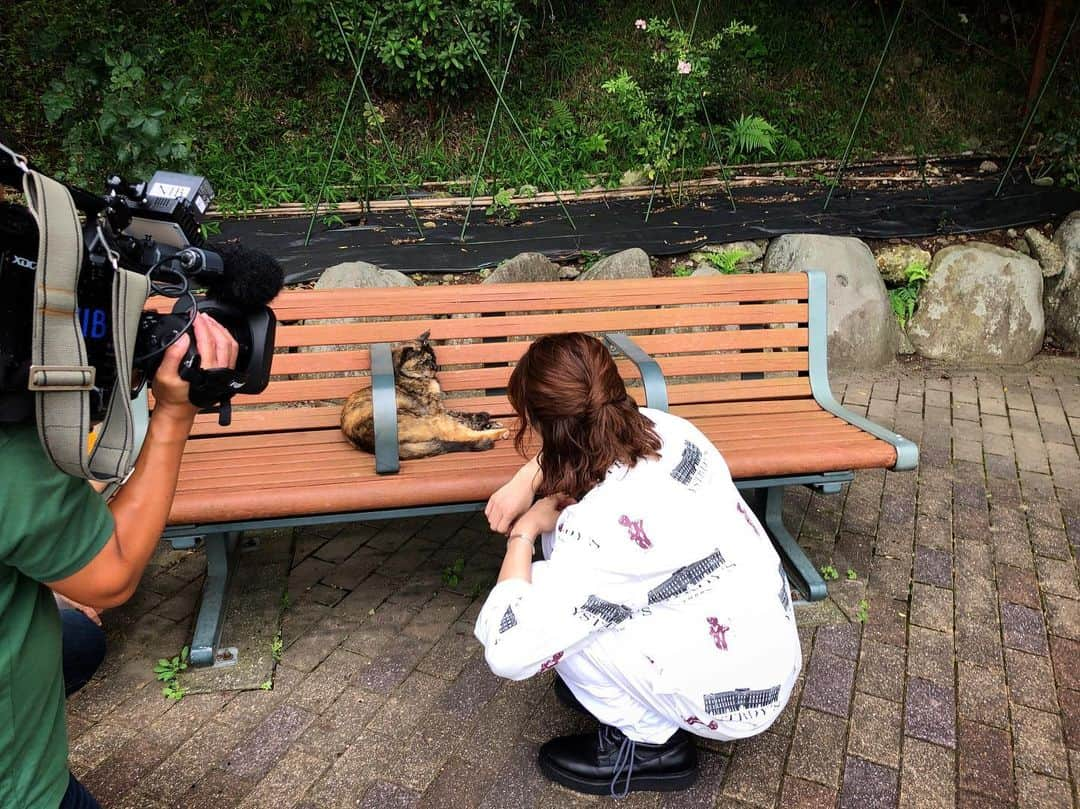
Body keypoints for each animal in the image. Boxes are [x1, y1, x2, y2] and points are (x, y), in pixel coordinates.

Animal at [341, 330, 509, 457]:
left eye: (434, 357)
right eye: (424, 362)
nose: (436, 366)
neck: (409, 377)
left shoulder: (440, 409)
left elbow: (460, 414)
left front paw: (485, 418)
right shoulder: (436, 412)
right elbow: (459, 420)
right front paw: (486, 423)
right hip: (429, 421)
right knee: (461, 435)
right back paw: (499, 432)